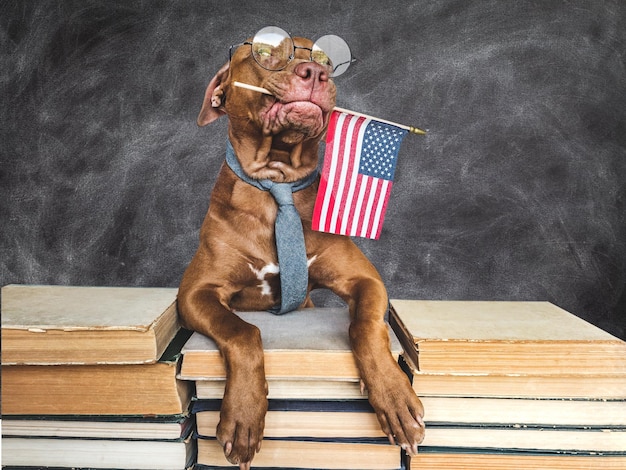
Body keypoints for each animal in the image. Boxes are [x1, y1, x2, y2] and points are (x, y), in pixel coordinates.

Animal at [180, 29, 424, 470]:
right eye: (263, 51)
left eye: (328, 59)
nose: (315, 73)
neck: (277, 180)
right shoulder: (194, 292)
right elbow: (243, 330)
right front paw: (243, 415)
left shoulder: (365, 279)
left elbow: (365, 326)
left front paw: (395, 396)